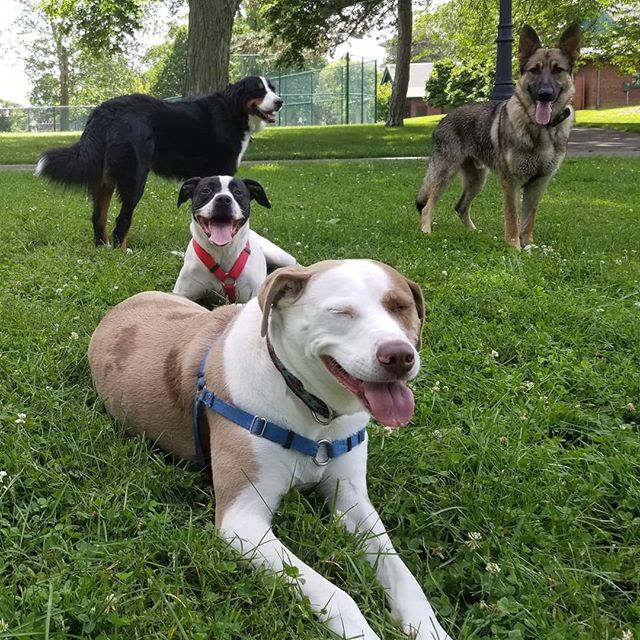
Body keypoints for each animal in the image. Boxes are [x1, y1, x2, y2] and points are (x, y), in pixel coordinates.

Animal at [35, 75, 282, 250]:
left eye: (272, 88)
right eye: (258, 90)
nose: (279, 102)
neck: (232, 110)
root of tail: (106, 109)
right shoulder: (222, 171)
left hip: (105, 179)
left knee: (98, 217)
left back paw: (101, 248)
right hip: (135, 177)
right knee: (122, 219)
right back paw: (121, 253)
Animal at [89, 260, 456, 640]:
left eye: (400, 306)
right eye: (341, 312)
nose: (399, 356)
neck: (311, 409)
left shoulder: (352, 500)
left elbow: (403, 576)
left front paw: (429, 627)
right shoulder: (242, 519)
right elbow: (337, 595)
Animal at [172, 175, 298, 304]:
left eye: (238, 192)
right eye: (206, 190)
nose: (223, 199)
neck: (222, 251)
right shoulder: (181, 294)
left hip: (279, 256)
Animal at [418, 23, 584, 248]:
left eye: (558, 70)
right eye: (534, 70)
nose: (544, 94)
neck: (541, 130)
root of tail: (444, 118)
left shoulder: (538, 184)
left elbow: (528, 220)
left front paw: (529, 245)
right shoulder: (511, 183)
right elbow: (513, 219)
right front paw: (514, 247)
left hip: (477, 179)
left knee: (460, 206)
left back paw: (474, 233)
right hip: (446, 173)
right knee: (428, 205)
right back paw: (426, 231)